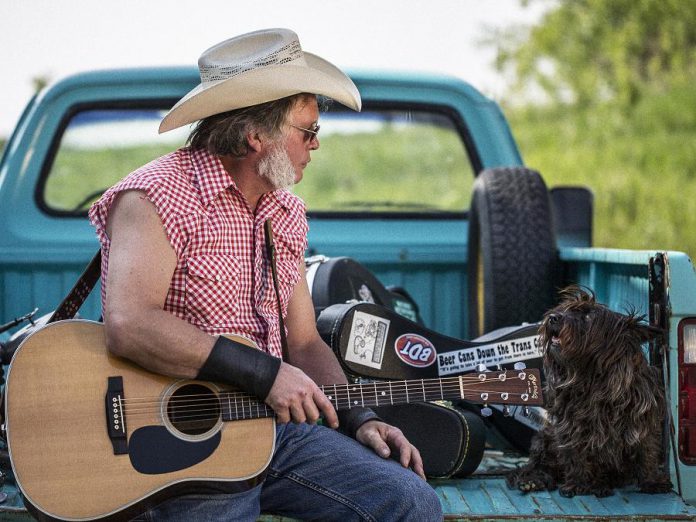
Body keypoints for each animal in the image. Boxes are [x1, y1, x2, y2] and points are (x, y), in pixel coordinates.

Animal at [508, 286, 672, 494]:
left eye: (588, 317)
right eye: (566, 309)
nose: (553, 317)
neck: (593, 378)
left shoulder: (642, 421)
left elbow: (647, 452)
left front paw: (651, 481)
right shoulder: (569, 426)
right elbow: (576, 454)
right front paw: (579, 484)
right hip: (544, 438)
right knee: (537, 465)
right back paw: (534, 480)